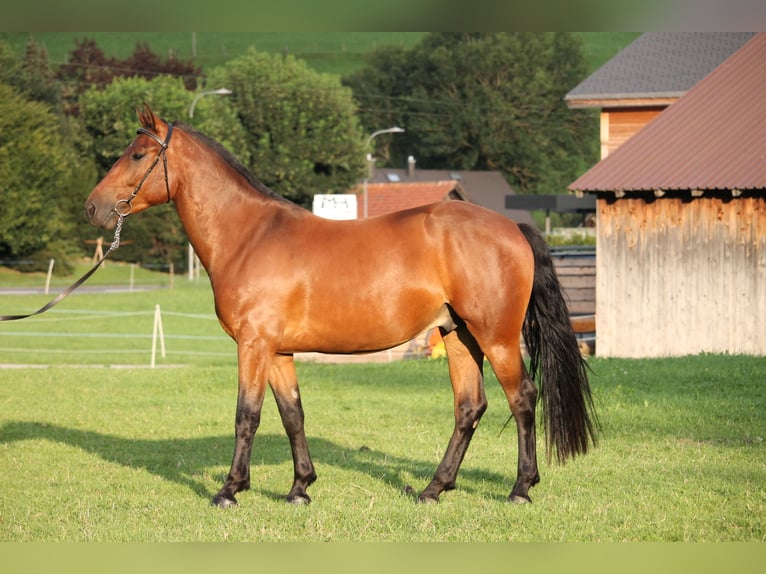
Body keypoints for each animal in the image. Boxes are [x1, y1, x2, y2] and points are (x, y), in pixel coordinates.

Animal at [85, 104, 600, 508]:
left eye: (137, 154)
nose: (92, 207)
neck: (250, 235)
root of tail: (512, 227)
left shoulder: (253, 345)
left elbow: (246, 416)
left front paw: (230, 490)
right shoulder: (278, 351)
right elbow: (292, 415)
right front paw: (300, 488)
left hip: (497, 336)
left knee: (522, 399)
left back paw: (520, 488)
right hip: (458, 335)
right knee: (469, 407)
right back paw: (433, 489)